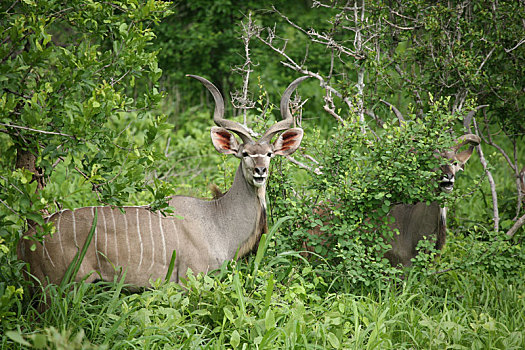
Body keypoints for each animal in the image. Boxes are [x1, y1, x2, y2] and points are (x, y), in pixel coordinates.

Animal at [18, 75, 308, 288]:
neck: (216, 220)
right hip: (59, 287)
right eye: (245, 153)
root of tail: (26, 238)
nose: (260, 171)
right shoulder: (191, 280)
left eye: (269, 154)